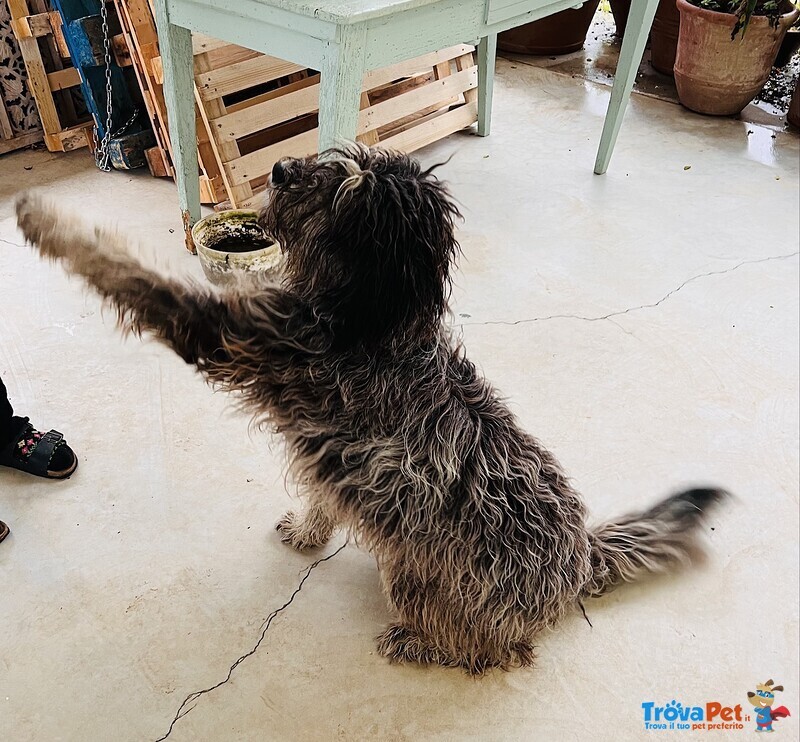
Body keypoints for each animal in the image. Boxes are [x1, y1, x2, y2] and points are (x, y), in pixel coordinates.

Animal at [14, 145, 724, 676]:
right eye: (341, 161)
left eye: (345, 196)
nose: (280, 168)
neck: (363, 322)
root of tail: (580, 557)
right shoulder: (328, 447)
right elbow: (322, 494)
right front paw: (308, 530)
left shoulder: (230, 333)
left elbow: (129, 272)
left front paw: (45, 221)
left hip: (418, 578)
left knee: (498, 651)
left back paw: (425, 644)